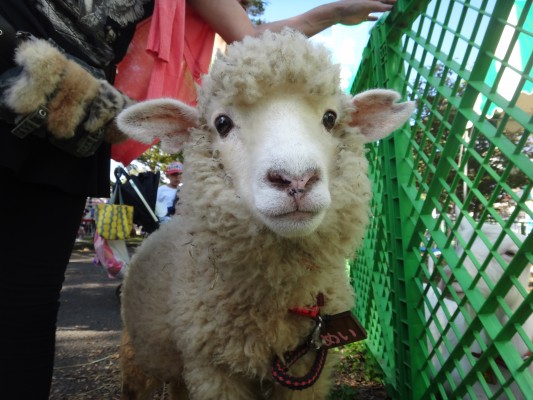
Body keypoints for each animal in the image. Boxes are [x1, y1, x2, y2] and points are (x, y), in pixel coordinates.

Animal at [117, 28, 416, 400]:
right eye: (222, 123)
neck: (278, 300)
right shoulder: (213, 369)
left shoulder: (306, 369)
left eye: (330, 118)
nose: (296, 179)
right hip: (137, 357)